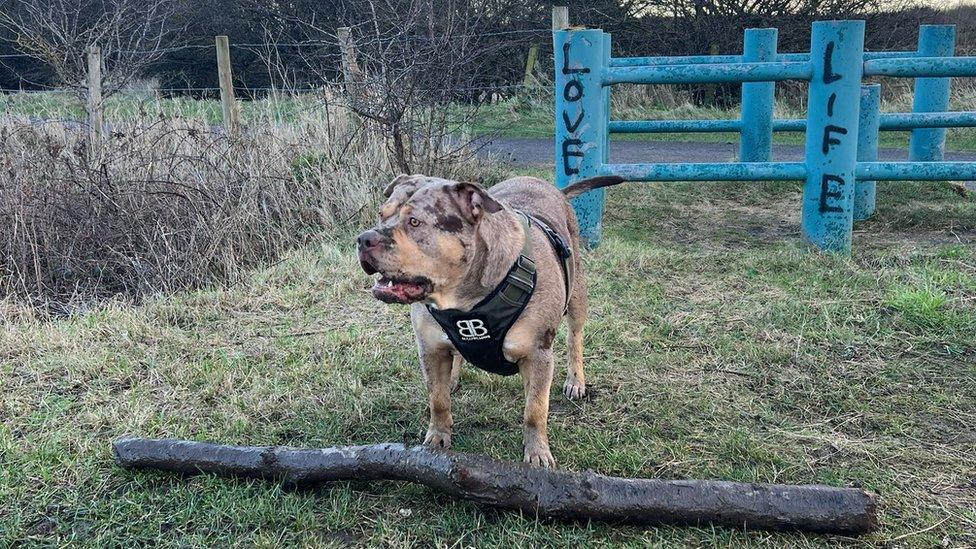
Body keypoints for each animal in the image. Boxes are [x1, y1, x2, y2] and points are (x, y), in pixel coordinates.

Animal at [358, 173, 624, 464]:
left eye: (414, 222)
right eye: (381, 215)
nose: (363, 239)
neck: (463, 301)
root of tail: (553, 188)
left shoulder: (538, 354)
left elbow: (535, 410)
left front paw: (537, 452)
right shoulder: (430, 349)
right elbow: (437, 399)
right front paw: (437, 438)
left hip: (577, 294)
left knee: (575, 338)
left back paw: (575, 381)